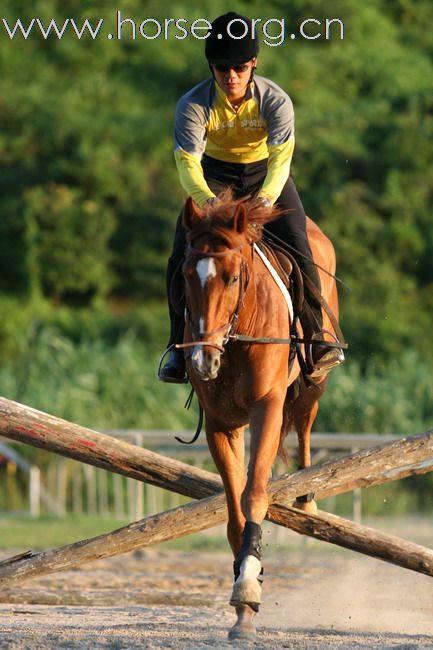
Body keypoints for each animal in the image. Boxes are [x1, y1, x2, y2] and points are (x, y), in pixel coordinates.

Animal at [181, 194, 340, 636]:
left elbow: (255, 494)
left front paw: (248, 587)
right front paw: (242, 597)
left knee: (305, 419)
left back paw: (307, 496)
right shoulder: (220, 424)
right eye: (186, 275)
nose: (203, 359)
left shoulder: (266, 407)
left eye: (234, 277)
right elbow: (235, 514)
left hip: (313, 383)